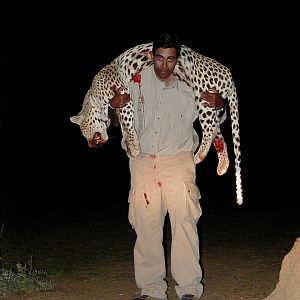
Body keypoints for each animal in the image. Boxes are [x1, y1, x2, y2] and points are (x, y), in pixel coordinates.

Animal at [69, 42, 243, 204]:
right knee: (218, 134)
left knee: (210, 127)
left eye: (85, 131)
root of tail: (228, 73)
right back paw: (222, 165)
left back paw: (198, 156)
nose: (92, 144)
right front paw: (130, 146)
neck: (95, 95)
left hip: (203, 95)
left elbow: (127, 123)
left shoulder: (124, 98)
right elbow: (126, 127)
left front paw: (134, 146)